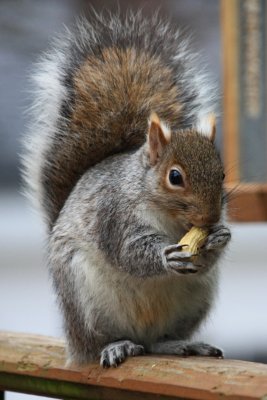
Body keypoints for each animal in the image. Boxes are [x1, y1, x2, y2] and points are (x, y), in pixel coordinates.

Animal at [23, 10, 232, 368]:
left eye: (221, 175)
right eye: (174, 177)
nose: (209, 219)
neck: (171, 219)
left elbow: (208, 256)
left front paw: (220, 236)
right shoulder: (114, 214)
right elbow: (128, 250)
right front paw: (166, 256)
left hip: (195, 300)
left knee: (158, 341)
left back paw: (179, 345)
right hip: (85, 300)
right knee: (98, 341)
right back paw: (115, 346)